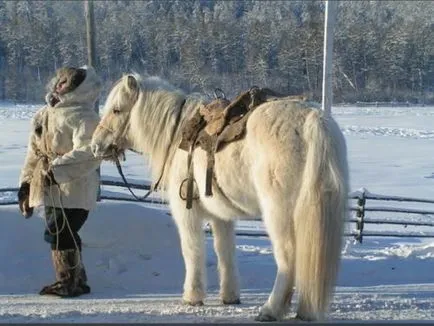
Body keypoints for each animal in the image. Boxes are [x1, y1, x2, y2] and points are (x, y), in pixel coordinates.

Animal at [90, 74, 350, 320]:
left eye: (116, 110)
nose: (95, 146)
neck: (177, 136)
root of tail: (313, 120)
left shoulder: (188, 213)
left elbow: (192, 251)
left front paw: (192, 297)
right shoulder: (221, 216)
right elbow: (225, 252)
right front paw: (230, 296)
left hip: (279, 214)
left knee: (288, 258)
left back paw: (271, 309)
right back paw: (306, 310)